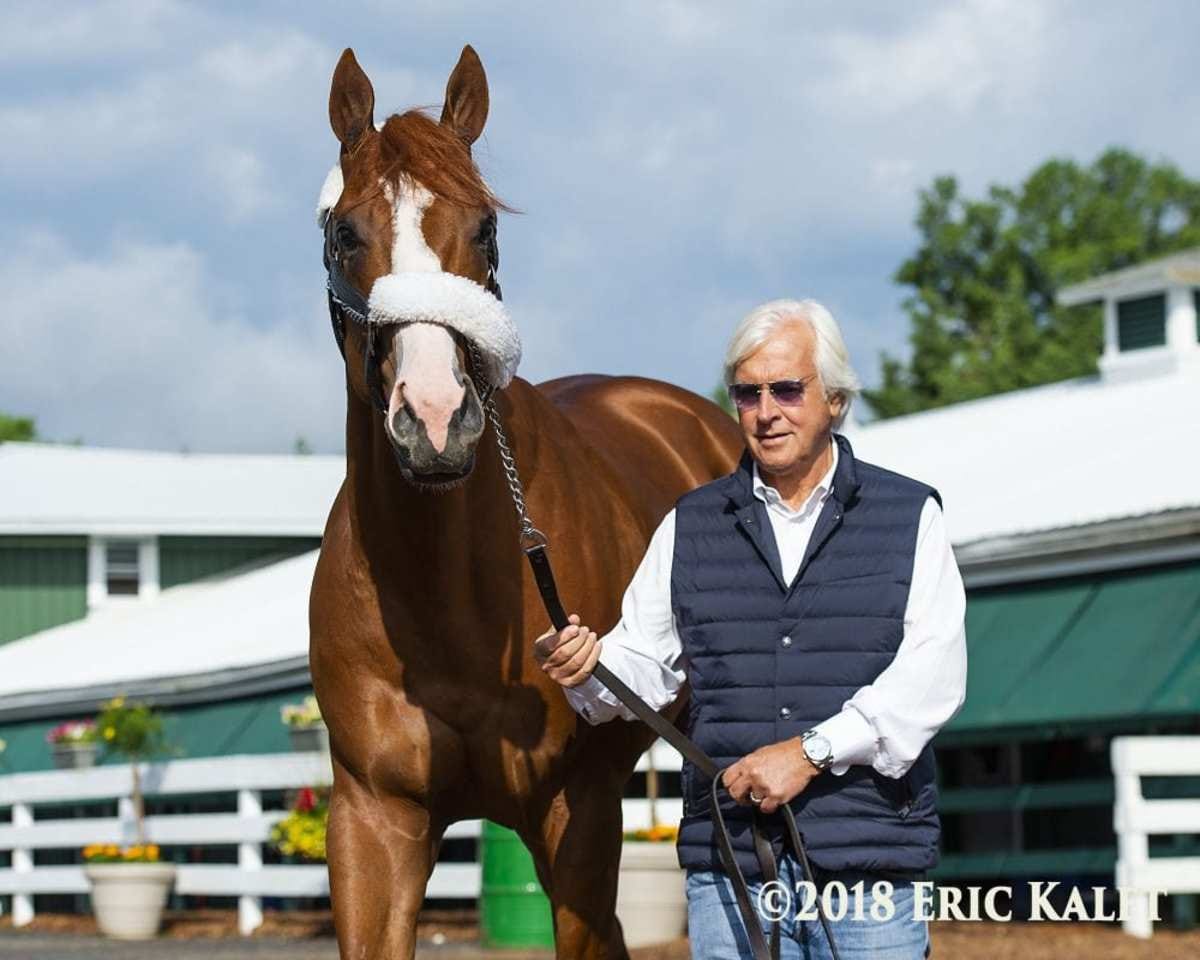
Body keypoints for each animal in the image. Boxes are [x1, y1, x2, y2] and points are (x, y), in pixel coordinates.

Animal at [309, 46, 739, 960]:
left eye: (486, 229)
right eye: (344, 233)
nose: (436, 419)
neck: (446, 597)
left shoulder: (576, 814)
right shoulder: (373, 820)